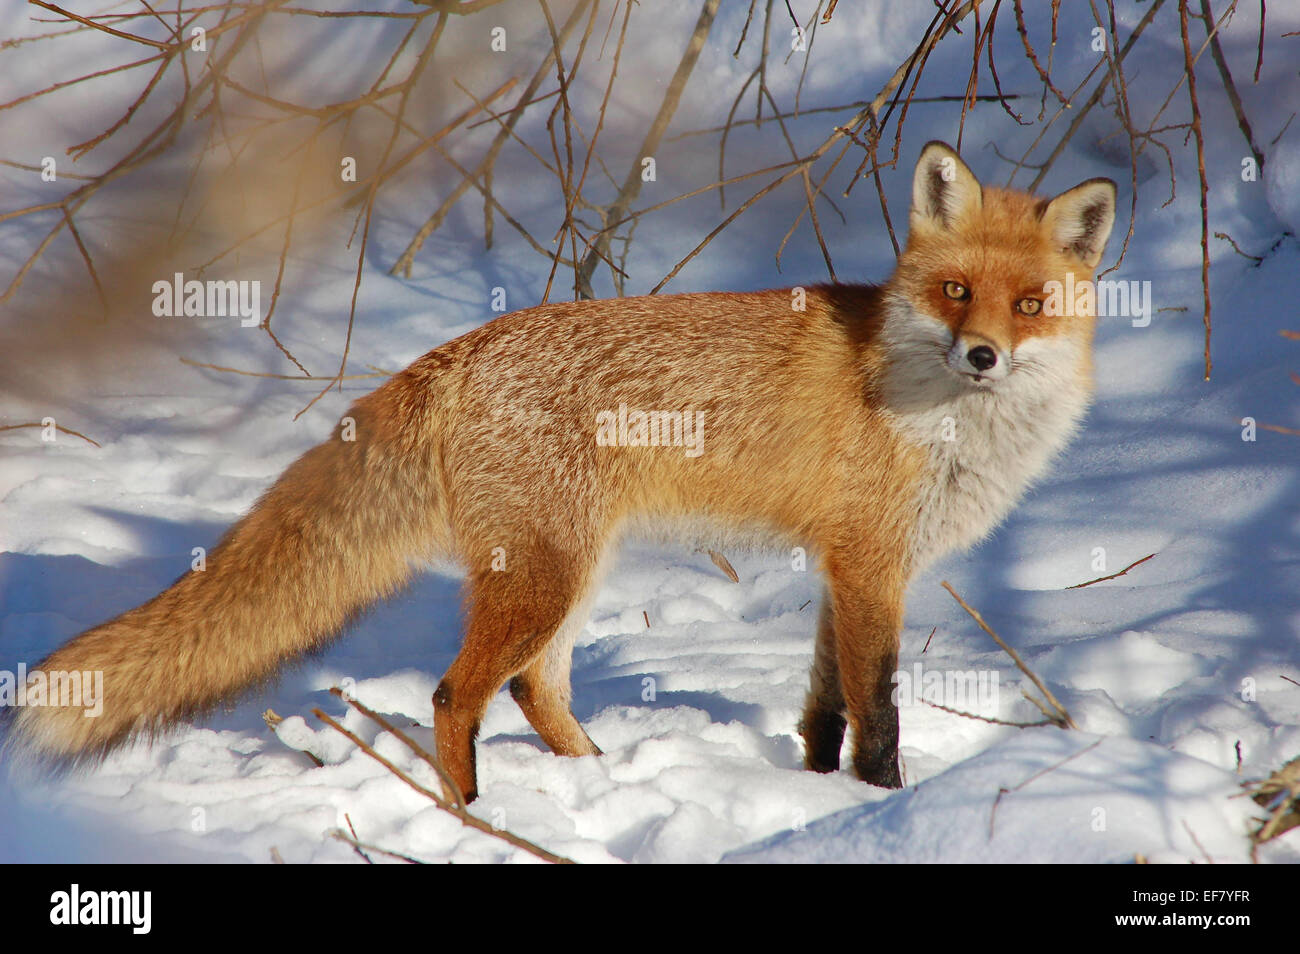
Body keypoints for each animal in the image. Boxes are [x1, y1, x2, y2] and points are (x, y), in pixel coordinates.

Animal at [5, 141, 1112, 805]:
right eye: (956, 291)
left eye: (1029, 305)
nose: (982, 357)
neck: (937, 414)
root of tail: (460, 349)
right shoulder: (871, 565)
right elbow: (875, 711)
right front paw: (882, 804)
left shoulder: (842, 569)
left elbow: (822, 708)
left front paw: (813, 798)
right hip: (546, 575)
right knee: (457, 695)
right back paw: (470, 818)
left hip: (571, 573)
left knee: (535, 689)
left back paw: (594, 784)